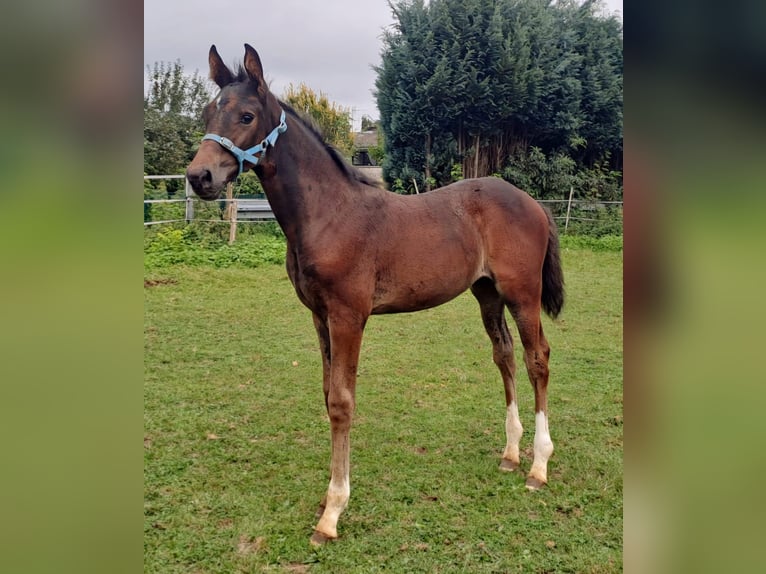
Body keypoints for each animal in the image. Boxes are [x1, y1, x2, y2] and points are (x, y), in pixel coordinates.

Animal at [188, 42, 568, 548]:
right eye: (209, 112)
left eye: (247, 115)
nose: (199, 176)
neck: (328, 213)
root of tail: (533, 204)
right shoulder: (319, 316)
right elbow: (327, 391)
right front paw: (327, 499)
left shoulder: (349, 316)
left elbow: (341, 401)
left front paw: (332, 513)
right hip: (487, 293)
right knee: (503, 355)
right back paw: (510, 452)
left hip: (522, 293)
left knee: (536, 358)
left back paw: (539, 466)